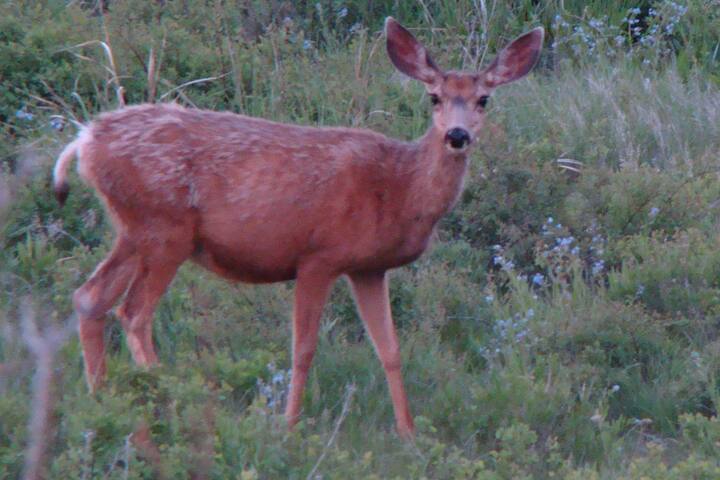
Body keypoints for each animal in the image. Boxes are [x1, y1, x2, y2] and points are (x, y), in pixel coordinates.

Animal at [53, 19, 544, 438]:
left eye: (484, 99)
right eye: (434, 97)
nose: (457, 136)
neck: (397, 187)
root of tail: (85, 141)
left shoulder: (369, 268)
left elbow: (390, 349)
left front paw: (409, 434)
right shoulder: (318, 256)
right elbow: (303, 349)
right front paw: (288, 427)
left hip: (134, 229)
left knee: (90, 297)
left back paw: (103, 404)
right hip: (165, 228)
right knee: (133, 312)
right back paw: (171, 405)